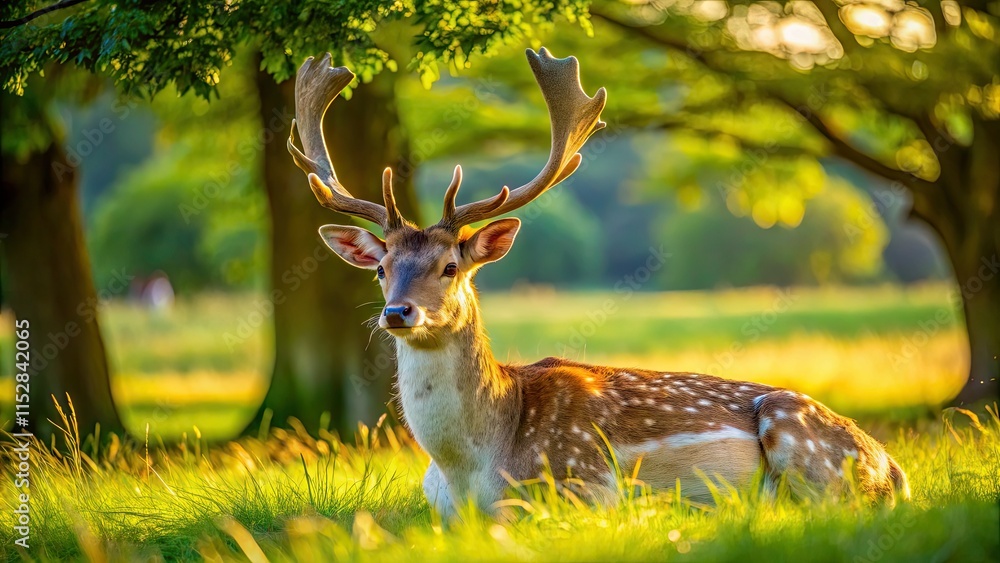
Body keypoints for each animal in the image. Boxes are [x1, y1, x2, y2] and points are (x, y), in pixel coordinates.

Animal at [286, 48, 911, 519]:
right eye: (381, 268)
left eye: (450, 267)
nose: (398, 313)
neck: (467, 469)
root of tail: (893, 466)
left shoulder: (585, 484)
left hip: (804, 446)